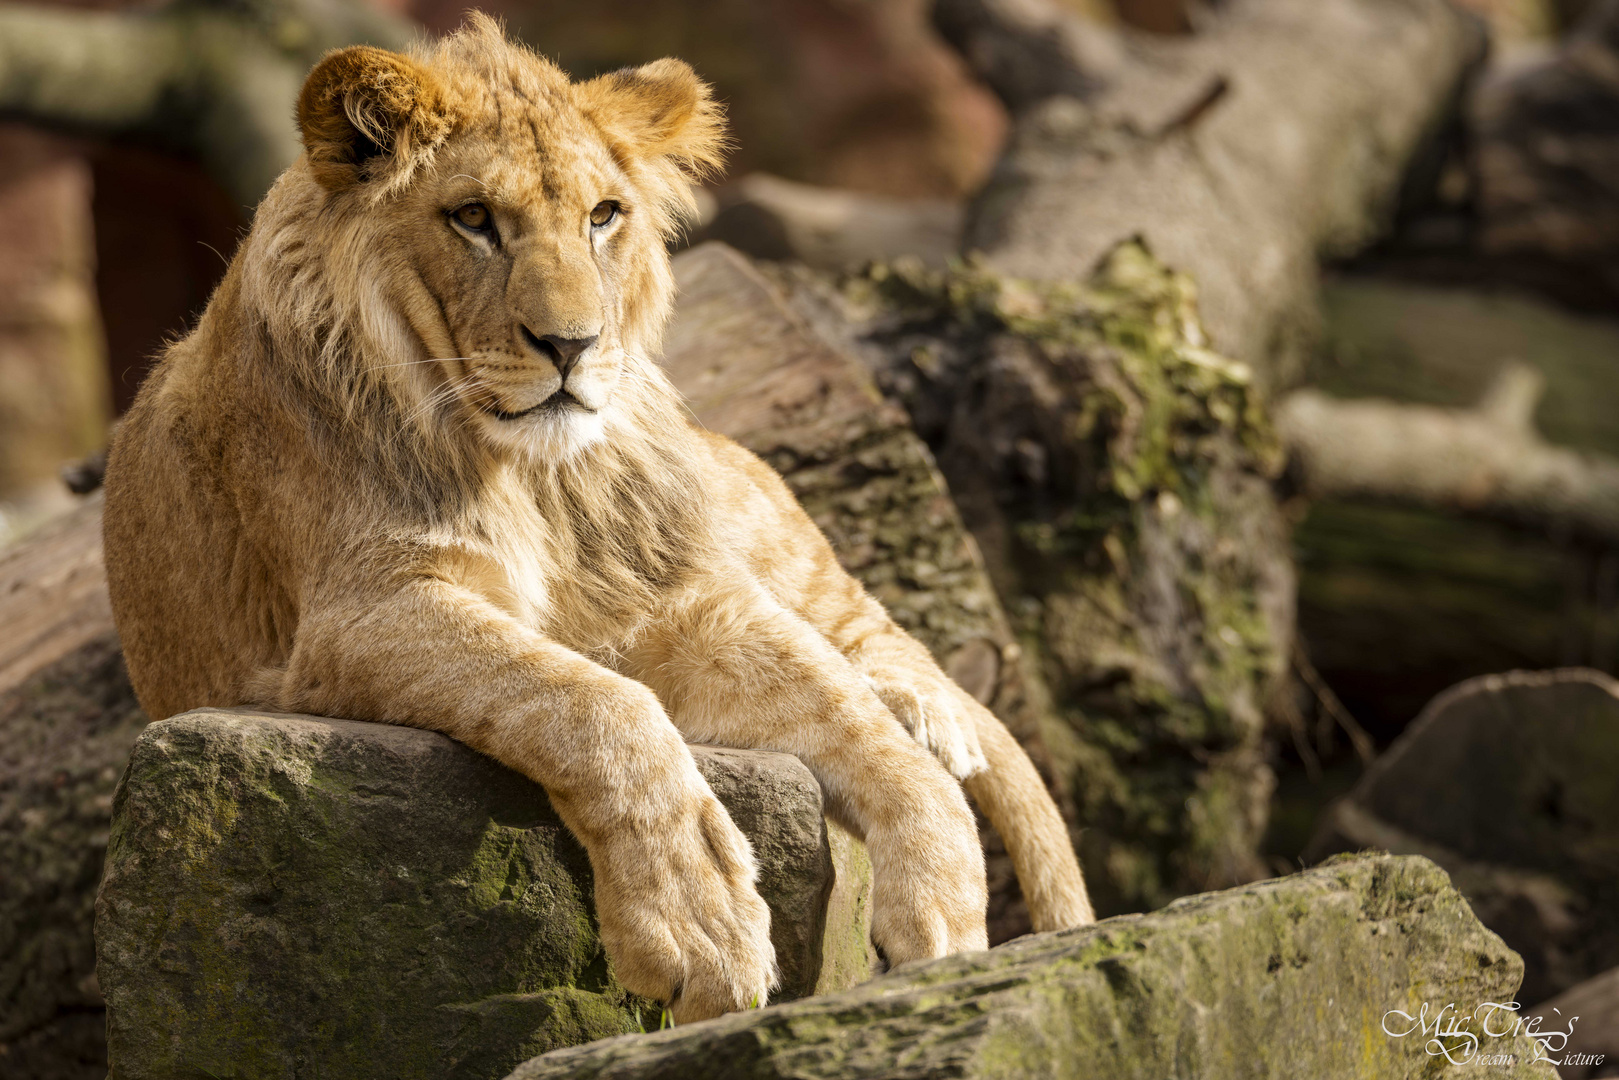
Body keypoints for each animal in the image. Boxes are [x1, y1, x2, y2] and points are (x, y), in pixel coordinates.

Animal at [97, 14, 1087, 1023]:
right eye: (473, 218)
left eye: (603, 216)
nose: (571, 345)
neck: (530, 473)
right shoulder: (358, 614)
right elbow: (597, 702)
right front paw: (697, 919)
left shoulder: (679, 596)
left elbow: (844, 711)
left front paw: (946, 904)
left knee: (863, 625)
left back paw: (928, 710)